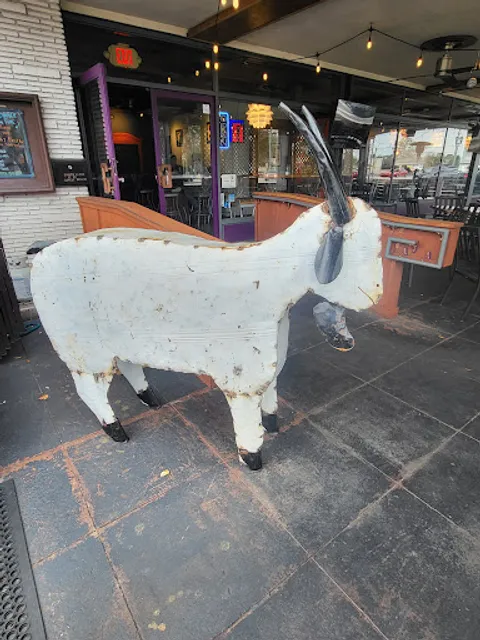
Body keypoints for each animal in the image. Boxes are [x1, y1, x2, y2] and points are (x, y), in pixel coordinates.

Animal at [31, 104, 383, 470]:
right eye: (354, 248)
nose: (376, 295)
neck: (274, 277)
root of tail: (40, 255)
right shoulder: (241, 379)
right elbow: (248, 425)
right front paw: (252, 459)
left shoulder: (268, 365)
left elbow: (271, 400)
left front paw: (273, 425)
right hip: (83, 351)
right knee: (90, 390)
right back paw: (116, 430)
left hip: (118, 340)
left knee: (128, 365)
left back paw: (150, 398)